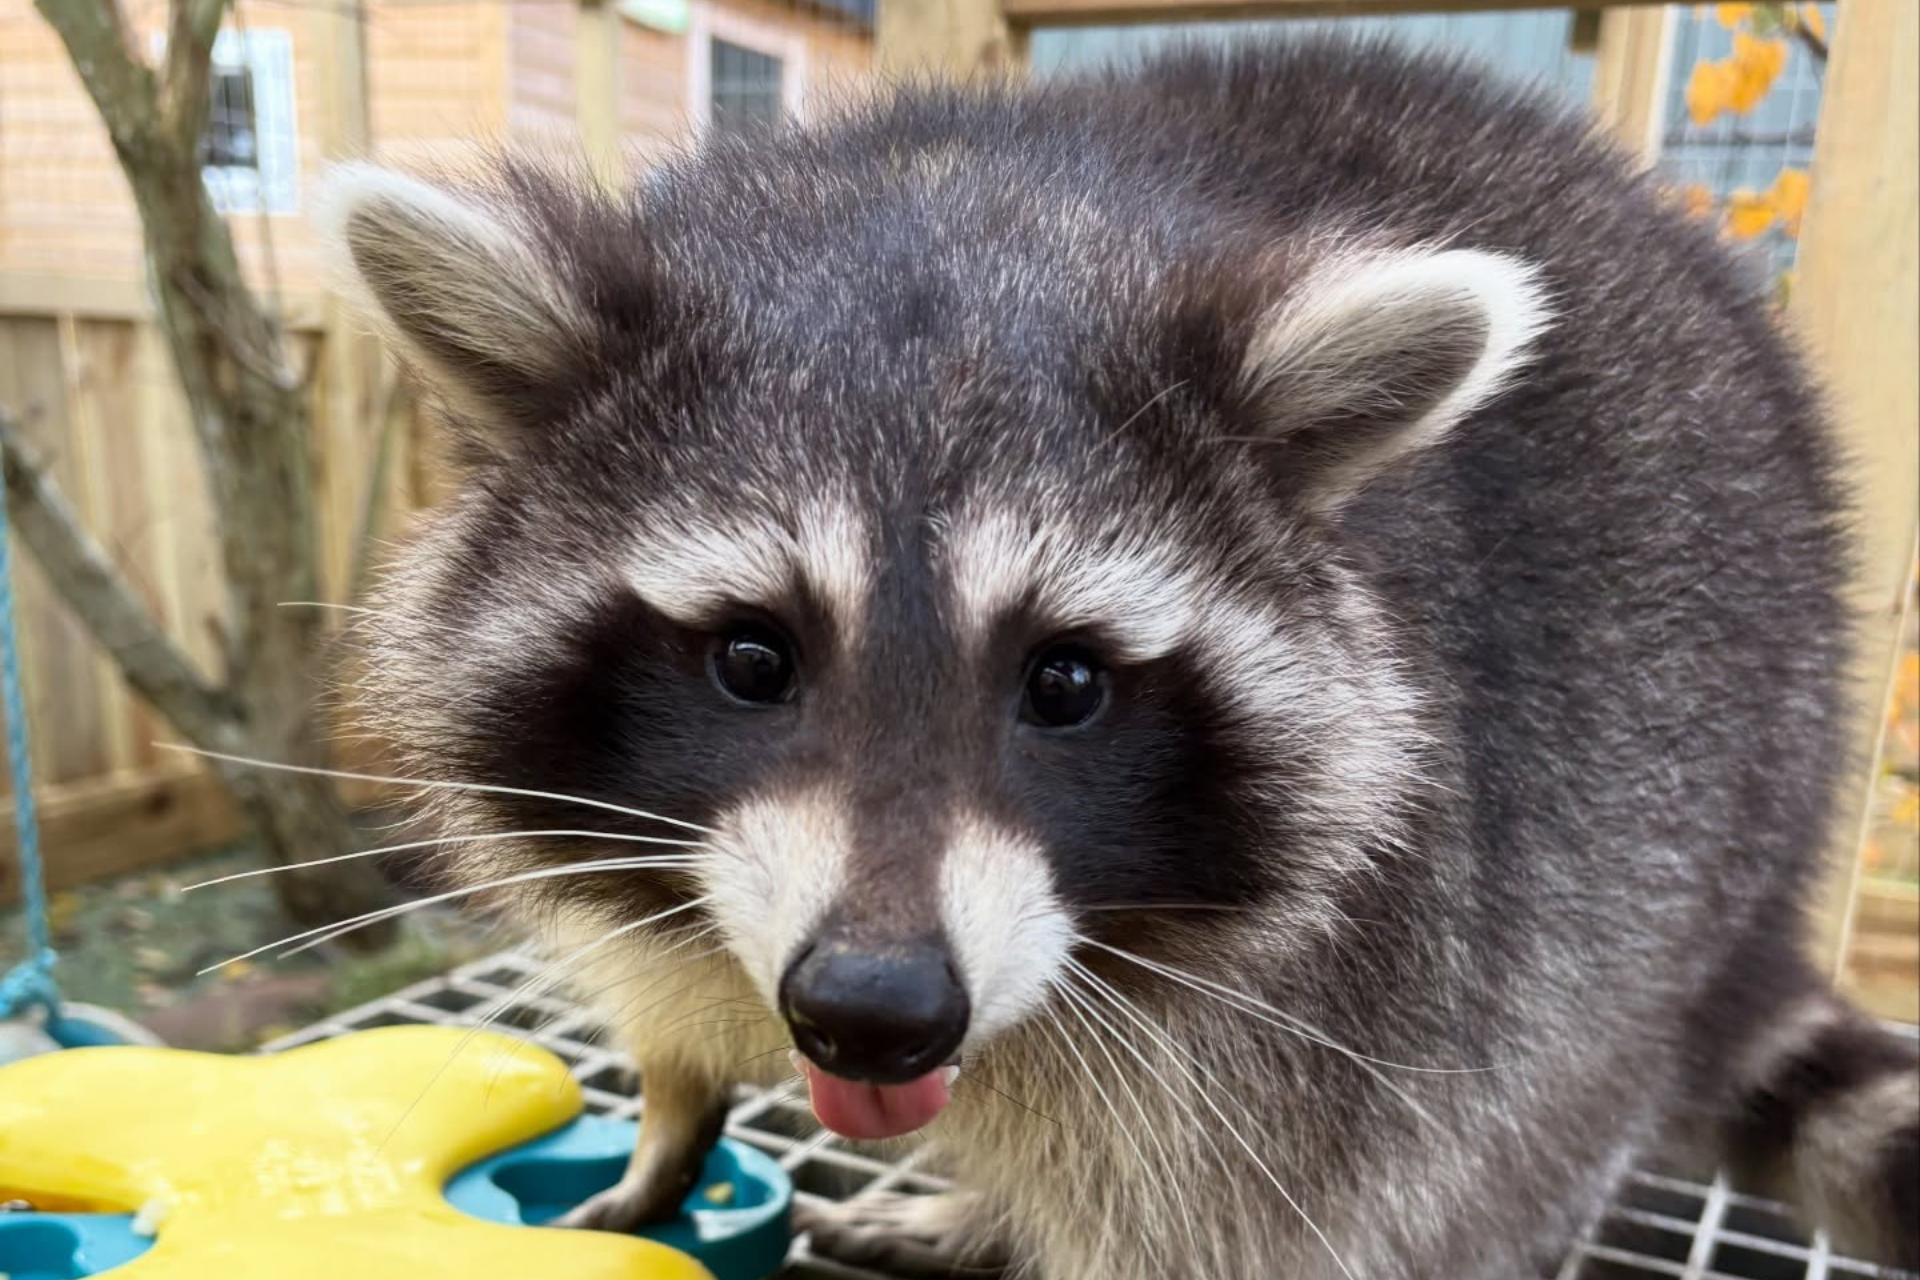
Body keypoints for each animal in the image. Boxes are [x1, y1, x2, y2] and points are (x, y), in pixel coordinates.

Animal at [316, 35, 1920, 1280]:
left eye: (1067, 683)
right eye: (752, 659)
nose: (876, 1013)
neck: (974, 192)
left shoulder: (1369, 995)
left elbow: (1253, 1204)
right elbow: (667, 1005)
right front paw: (668, 1124)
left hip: (1663, 883)